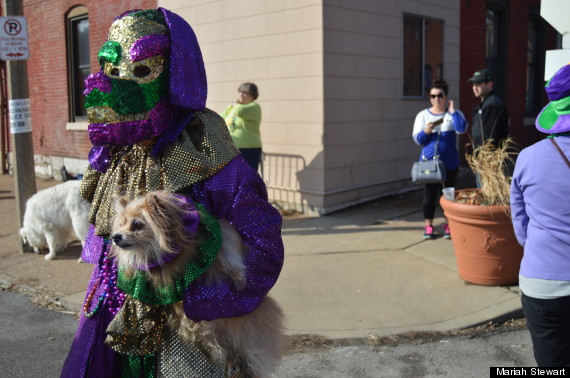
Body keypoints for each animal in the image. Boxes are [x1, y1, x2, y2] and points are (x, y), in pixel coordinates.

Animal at [108, 192, 284, 378]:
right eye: (120, 224)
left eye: (137, 224)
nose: (115, 237)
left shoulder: (215, 233)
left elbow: (227, 237)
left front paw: (237, 273)